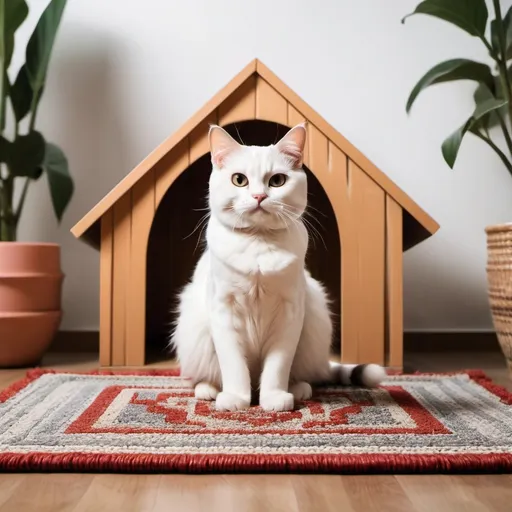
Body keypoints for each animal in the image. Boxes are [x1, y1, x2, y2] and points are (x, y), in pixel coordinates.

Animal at [170, 123, 386, 412]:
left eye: (277, 181)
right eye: (239, 180)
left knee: (304, 374)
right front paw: (236, 399)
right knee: (206, 375)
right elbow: (233, 364)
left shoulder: (290, 312)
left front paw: (273, 399)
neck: (259, 244)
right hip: (195, 332)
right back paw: (209, 390)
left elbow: (278, 365)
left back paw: (298, 389)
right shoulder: (223, 310)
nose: (259, 196)